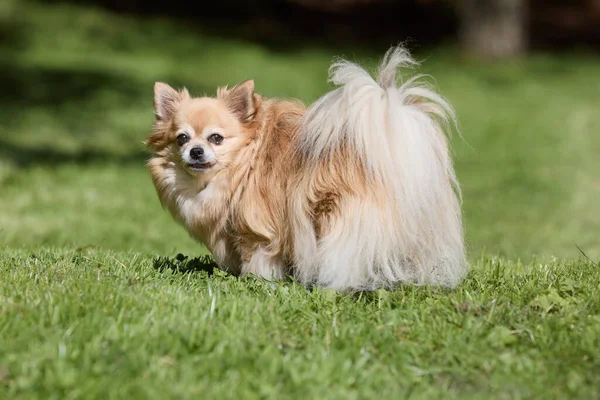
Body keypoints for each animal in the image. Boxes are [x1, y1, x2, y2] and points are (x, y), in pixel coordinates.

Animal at [146, 47, 468, 290]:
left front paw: (256, 282)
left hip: (337, 215)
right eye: (182, 138)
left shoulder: (257, 231)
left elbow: (259, 258)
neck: (242, 164)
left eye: (215, 138)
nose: (195, 151)